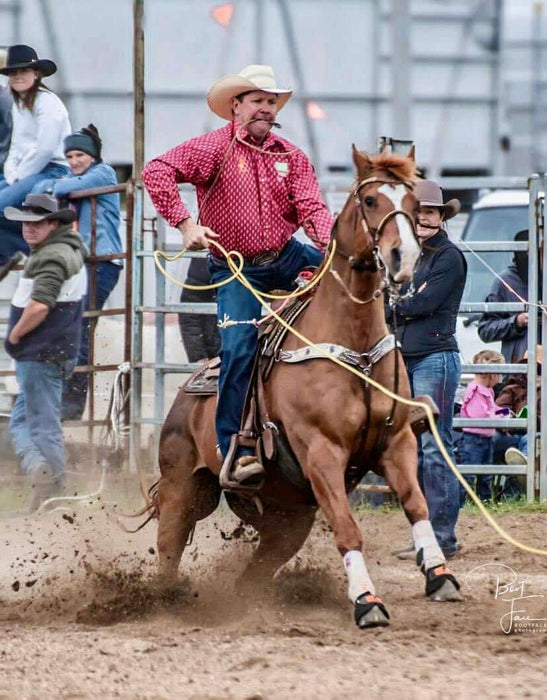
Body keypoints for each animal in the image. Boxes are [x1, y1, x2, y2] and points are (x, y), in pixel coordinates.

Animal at [153, 148, 462, 628]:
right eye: (370, 200)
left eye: (413, 205)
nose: (404, 258)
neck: (353, 343)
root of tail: (184, 395)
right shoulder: (321, 452)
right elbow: (348, 529)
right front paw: (367, 602)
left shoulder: (397, 441)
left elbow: (417, 505)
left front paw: (439, 575)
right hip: (184, 485)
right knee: (169, 542)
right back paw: (164, 598)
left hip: (287, 516)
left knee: (257, 567)